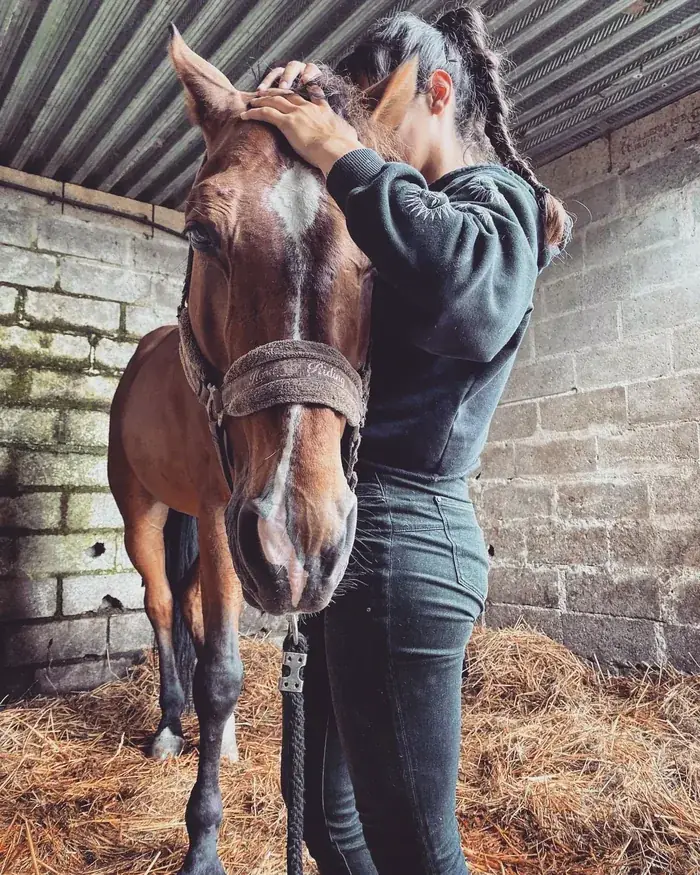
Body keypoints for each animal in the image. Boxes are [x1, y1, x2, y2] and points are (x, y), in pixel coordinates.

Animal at [107, 28, 414, 875]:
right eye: (202, 233)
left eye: (385, 257)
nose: (299, 542)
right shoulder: (222, 513)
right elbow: (219, 670)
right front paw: (203, 842)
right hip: (144, 511)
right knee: (162, 604)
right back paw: (170, 725)